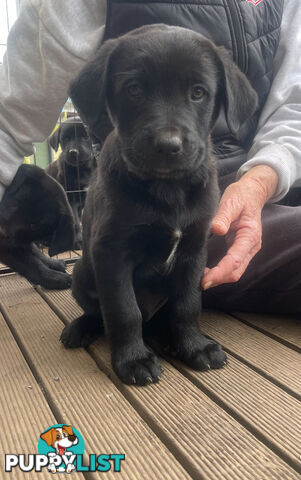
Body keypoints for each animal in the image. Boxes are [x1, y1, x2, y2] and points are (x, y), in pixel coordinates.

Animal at [46, 116, 95, 248]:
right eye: (65, 139)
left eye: (85, 136)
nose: (73, 152)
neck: (82, 169)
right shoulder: (70, 198)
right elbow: (76, 222)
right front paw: (78, 241)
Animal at [61, 23, 258, 386]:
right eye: (134, 89)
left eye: (198, 92)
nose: (168, 146)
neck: (168, 190)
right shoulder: (112, 253)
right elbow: (123, 311)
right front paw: (133, 360)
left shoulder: (194, 252)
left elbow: (187, 305)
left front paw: (194, 345)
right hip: (82, 271)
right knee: (101, 312)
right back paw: (81, 328)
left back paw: (168, 338)